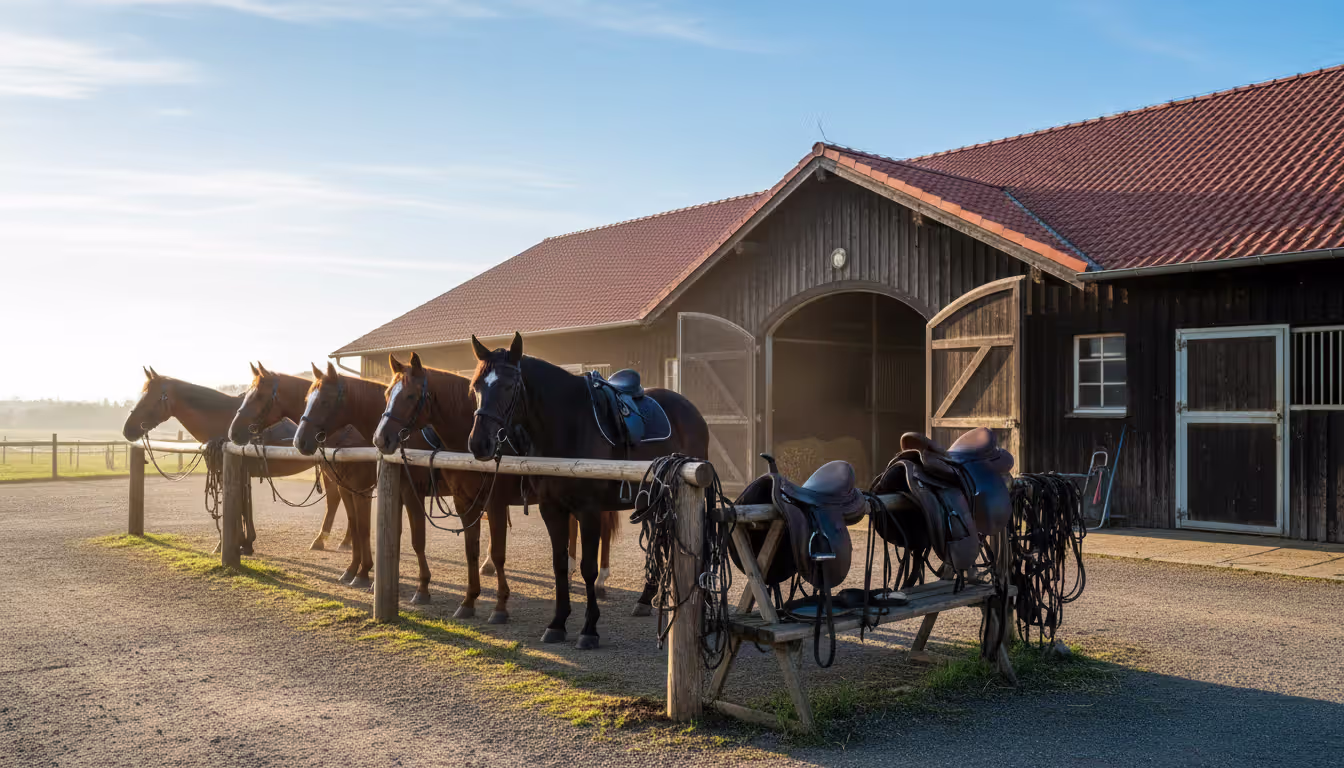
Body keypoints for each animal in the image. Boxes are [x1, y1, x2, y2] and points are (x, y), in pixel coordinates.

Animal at [121, 367, 341, 554]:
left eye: (151, 397)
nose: (127, 430)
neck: (222, 420)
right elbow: (244, 507)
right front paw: (246, 543)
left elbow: (236, 508)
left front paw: (228, 544)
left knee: (335, 500)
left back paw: (323, 541)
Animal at [227, 363, 373, 584]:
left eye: (259, 395)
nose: (233, 432)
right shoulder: (347, 487)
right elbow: (356, 525)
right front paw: (353, 570)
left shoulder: (363, 490)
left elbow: (364, 528)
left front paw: (363, 573)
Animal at [463, 333, 709, 649]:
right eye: (476, 386)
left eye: (507, 385)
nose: (478, 443)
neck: (567, 425)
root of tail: (689, 409)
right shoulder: (551, 509)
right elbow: (560, 565)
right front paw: (557, 623)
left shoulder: (589, 511)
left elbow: (588, 568)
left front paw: (589, 629)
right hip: (652, 502)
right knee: (660, 544)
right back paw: (645, 599)